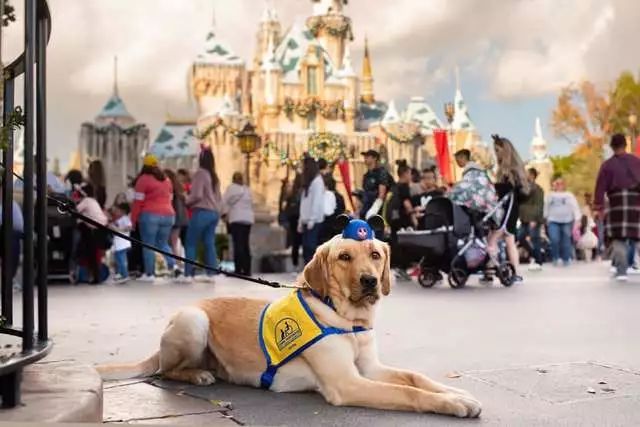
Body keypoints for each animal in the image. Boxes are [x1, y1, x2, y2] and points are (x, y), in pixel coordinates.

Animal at [96, 221, 480, 418]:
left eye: (374, 254)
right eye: (344, 257)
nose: (370, 281)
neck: (348, 318)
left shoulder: (370, 368)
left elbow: (415, 378)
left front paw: (455, 391)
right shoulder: (348, 382)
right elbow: (406, 392)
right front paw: (453, 403)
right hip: (193, 320)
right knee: (165, 370)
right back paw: (197, 374)